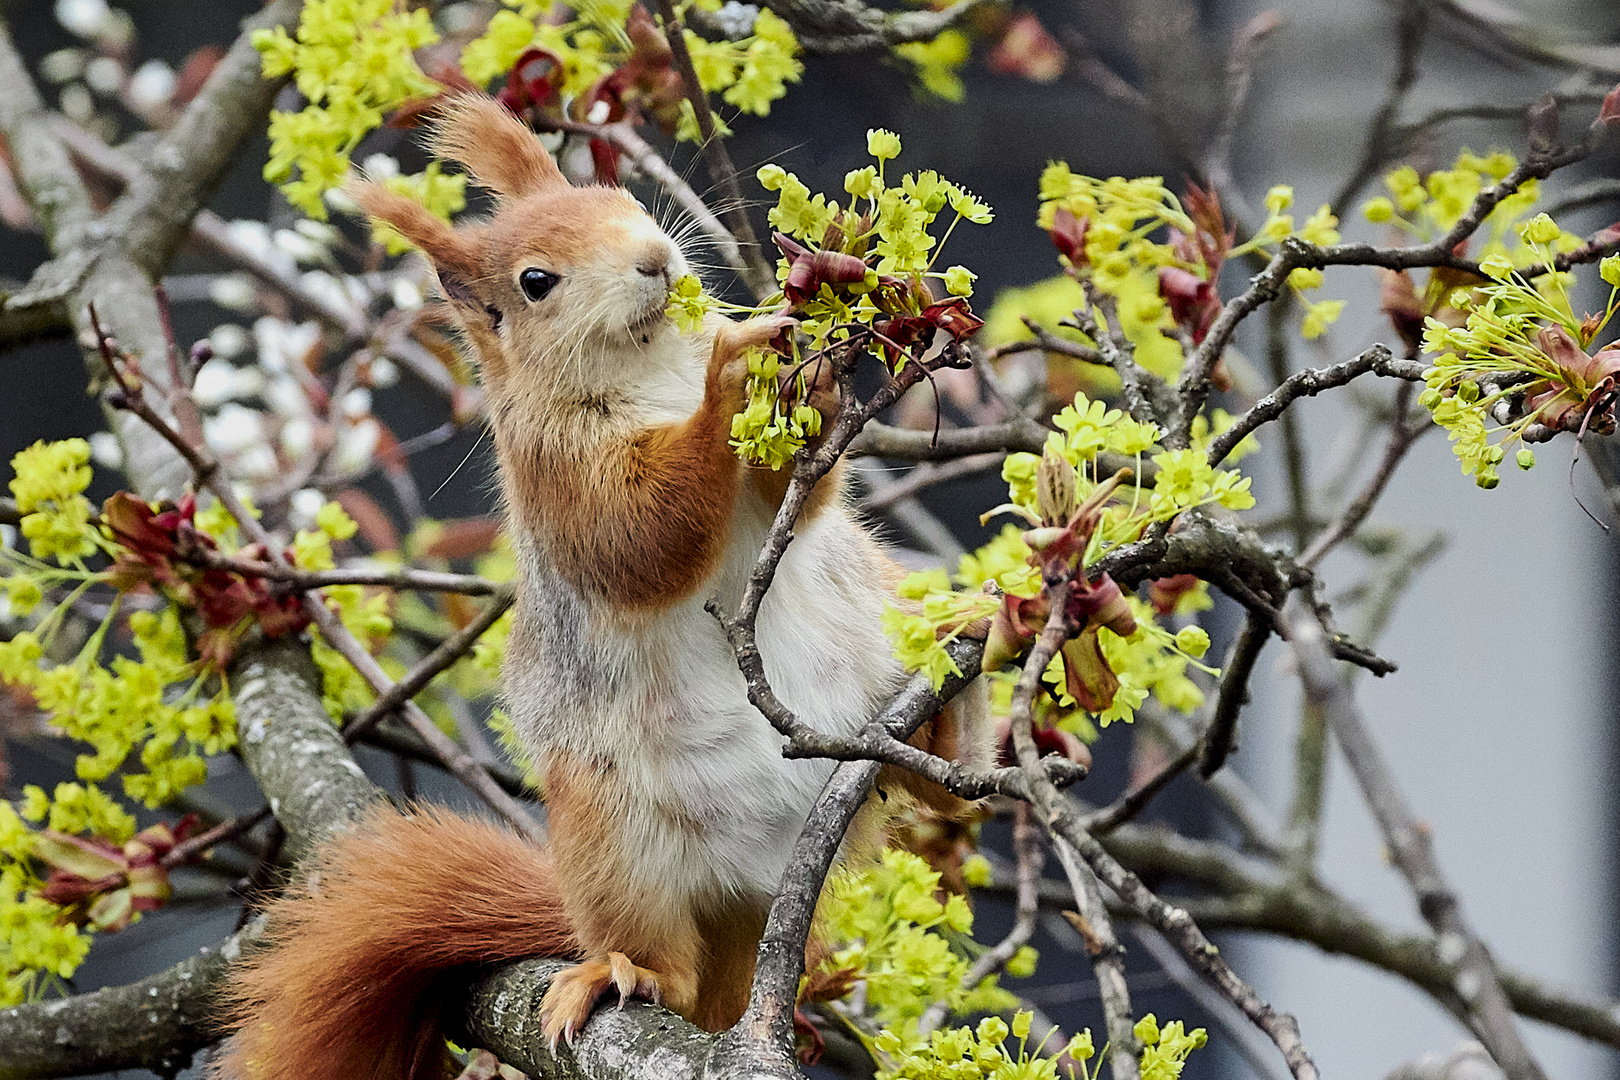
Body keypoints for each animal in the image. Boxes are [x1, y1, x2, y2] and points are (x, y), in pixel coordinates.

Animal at [213, 95, 984, 1080]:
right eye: (536, 281)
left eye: (618, 198)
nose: (655, 257)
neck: (649, 367)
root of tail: (758, 887)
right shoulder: (558, 478)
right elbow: (640, 538)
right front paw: (732, 374)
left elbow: (799, 498)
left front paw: (805, 361)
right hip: (614, 840)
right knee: (667, 965)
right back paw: (623, 973)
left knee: (939, 789)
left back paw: (959, 684)